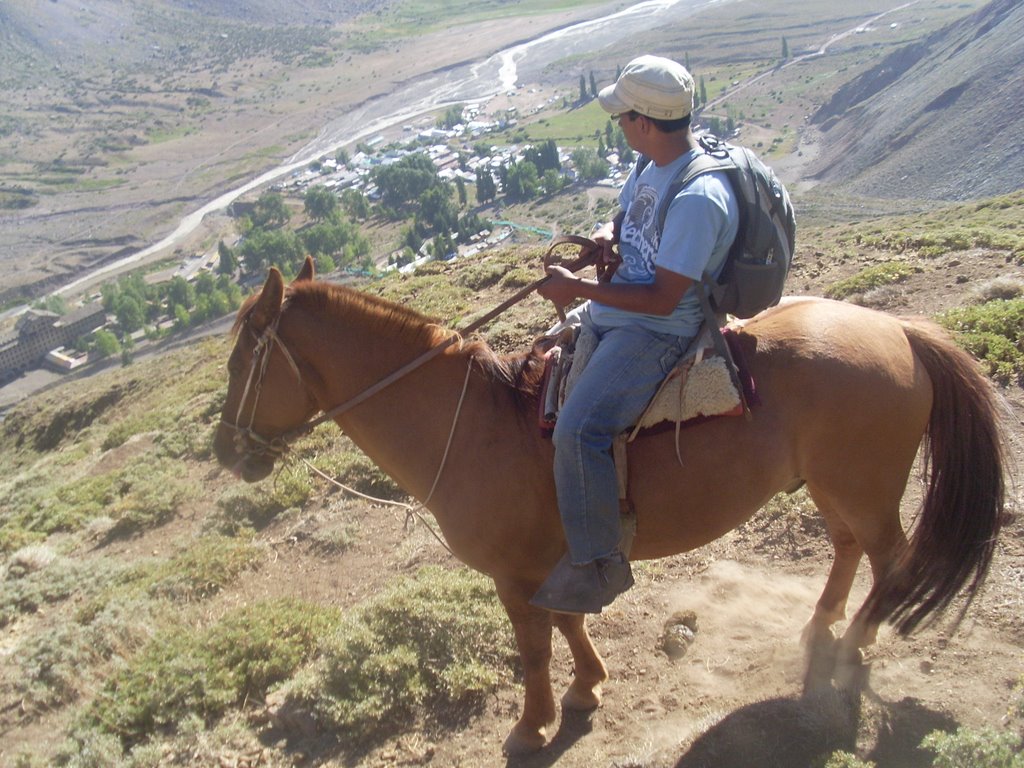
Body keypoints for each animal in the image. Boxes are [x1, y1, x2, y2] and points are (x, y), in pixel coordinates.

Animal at [211, 260, 1003, 757]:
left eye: (243, 358)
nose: (227, 449)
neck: (471, 424)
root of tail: (900, 331)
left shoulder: (514, 575)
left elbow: (534, 647)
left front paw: (532, 726)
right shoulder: (560, 557)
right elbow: (568, 622)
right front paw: (588, 687)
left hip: (864, 489)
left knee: (890, 559)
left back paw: (853, 642)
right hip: (832, 487)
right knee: (846, 548)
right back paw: (821, 626)